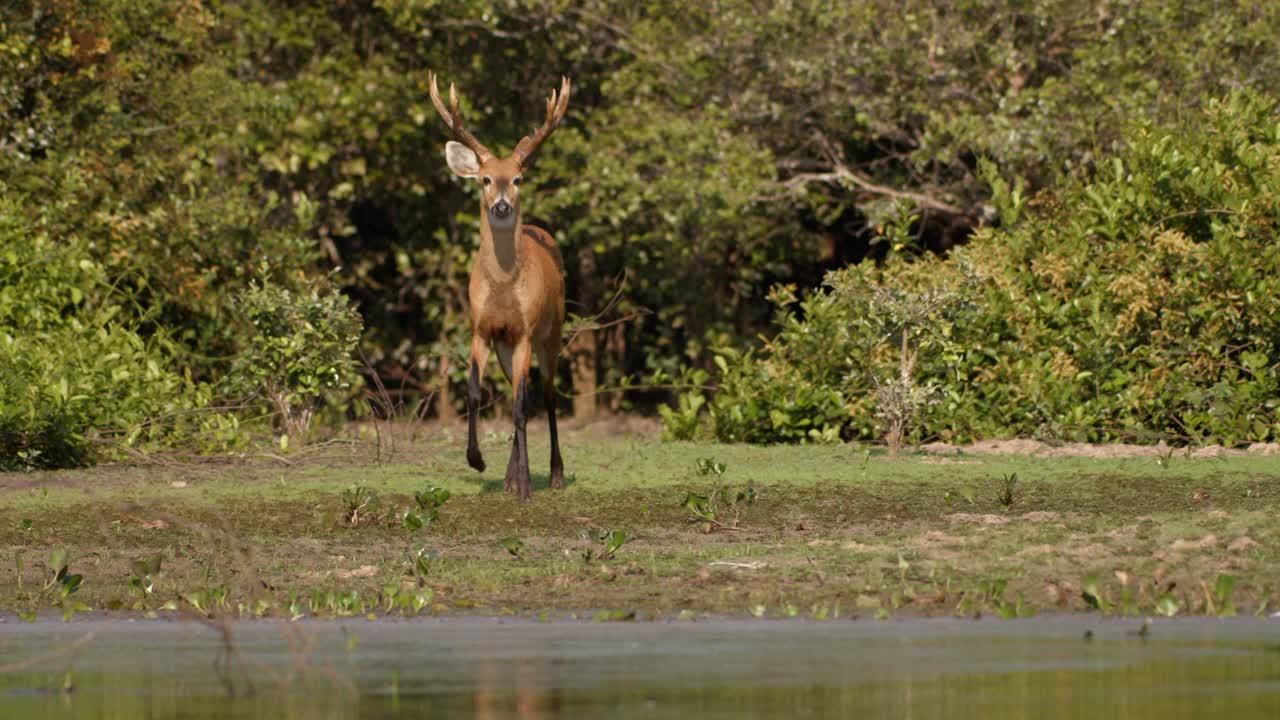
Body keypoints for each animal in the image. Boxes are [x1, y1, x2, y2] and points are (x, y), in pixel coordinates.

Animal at [430, 71, 570, 499]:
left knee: (546, 395)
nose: (502, 206)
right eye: (485, 179)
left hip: (552, 331)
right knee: (518, 394)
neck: (504, 293)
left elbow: (523, 407)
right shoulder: (481, 328)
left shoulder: (524, 330)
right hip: (508, 346)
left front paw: (525, 483)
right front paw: (477, 461)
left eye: (519, 178)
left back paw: (554, 474)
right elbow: (475, 393)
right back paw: (509, 477)